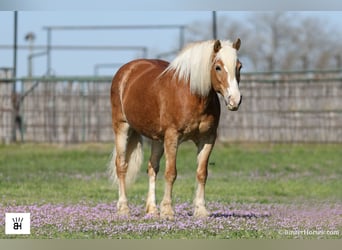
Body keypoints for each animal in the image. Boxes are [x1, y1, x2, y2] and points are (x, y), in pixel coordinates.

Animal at [111, 38, 242, 220]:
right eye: (218, 67)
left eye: (239, 66)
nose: (235, 100)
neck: (192, 95)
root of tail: (126, 71)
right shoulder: (173, 137)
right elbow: (171, 173)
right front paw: (167, 211)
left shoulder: (207, 139)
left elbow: (202, 173)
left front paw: (201, 210)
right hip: (122, 128)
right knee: (122, 166)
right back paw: (123, 208)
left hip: (157, 138)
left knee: (152, 168)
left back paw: (152, 209)